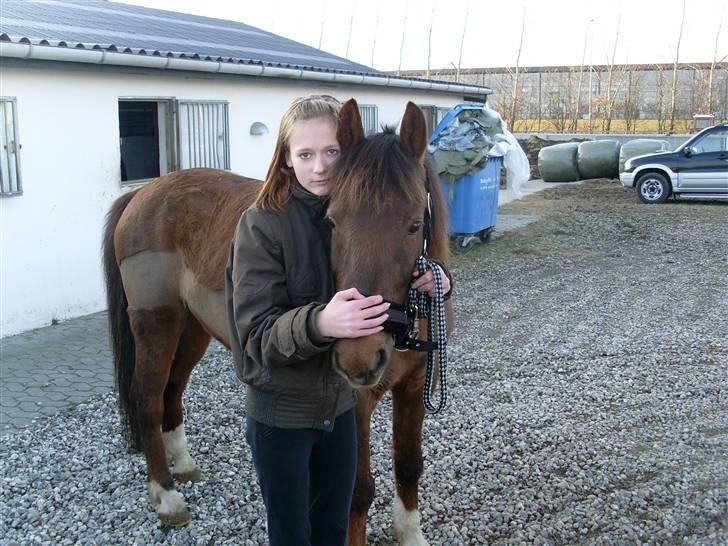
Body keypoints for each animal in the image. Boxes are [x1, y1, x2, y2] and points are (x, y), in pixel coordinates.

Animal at [102, 99, 451, 545]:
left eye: (413, 224)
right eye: (332, 221)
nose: (359, 357)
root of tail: (142, 194)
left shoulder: (413, 387)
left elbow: (409, 465)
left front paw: (410, 534)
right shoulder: (354, 406)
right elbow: (357, 492)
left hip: (191, 330)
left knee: (172, 390)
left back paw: (182, 464)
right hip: (157, 326)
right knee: (147, 398)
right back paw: (167, 497)